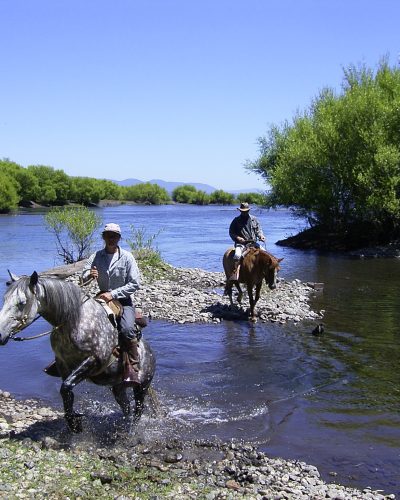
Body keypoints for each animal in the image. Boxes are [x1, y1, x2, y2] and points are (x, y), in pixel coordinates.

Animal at [0, 272, 155, 432]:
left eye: (22, 302)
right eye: (5, 299)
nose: (1, 335)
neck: (75, 321)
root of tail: (150, 353)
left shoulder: (93, 361)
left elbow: (66, 387)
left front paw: (75, 423)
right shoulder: (63, 364)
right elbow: (67, 393)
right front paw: (74, 423)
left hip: (142, 387)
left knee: (138, 410)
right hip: (118, 388)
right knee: (126, 407)